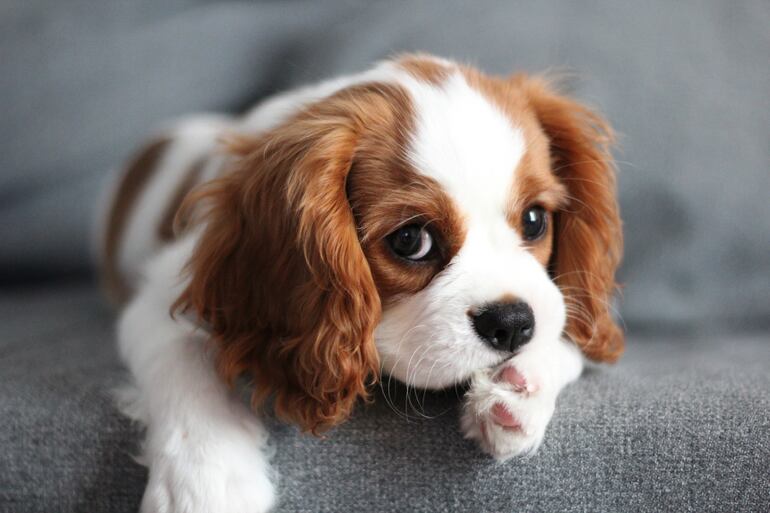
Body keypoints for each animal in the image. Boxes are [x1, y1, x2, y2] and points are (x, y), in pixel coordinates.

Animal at [99, 54, 620, 510]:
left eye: (534, 220)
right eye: (410, 240)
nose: (510, 323)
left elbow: (565, 327)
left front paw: (522, 385)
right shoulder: (163, 292)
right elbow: (180, 354)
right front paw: (207, 479)